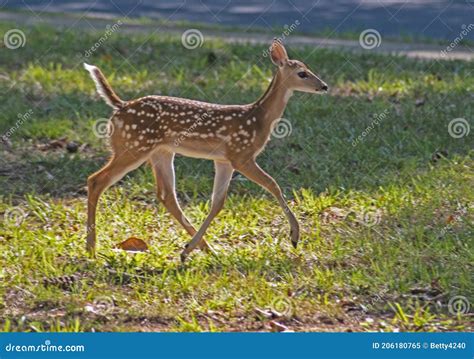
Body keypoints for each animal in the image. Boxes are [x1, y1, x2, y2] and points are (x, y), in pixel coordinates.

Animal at [85, 40, 328, 262]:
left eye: (308, 68)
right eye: (302, 73)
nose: (324, 86)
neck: (259, 119)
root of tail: (120, 106)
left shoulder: (224, 161)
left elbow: (217, 203)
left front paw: (188, 249)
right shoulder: (241, 154)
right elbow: (273, 184)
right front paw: (294, 236)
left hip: (160, 152)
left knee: (166, 195)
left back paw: (203, 249)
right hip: (134, 146)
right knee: (96, 180)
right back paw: (91, 248)